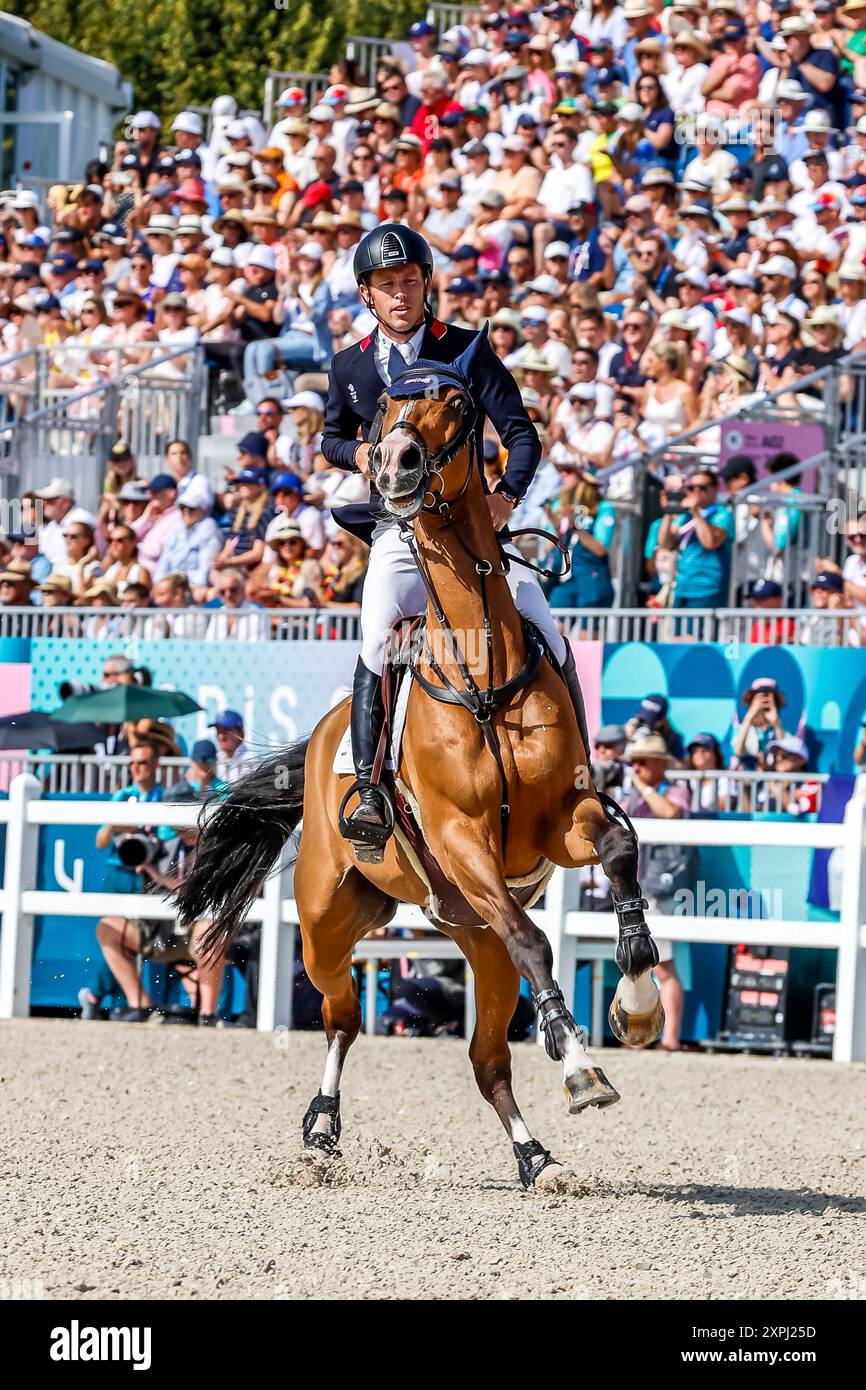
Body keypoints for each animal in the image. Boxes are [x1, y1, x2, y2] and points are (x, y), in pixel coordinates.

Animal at [177, 330, 664, 1189]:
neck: (482, 672)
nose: (396, 465)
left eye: (459, 403)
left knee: (486, 1058)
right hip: (327, 920)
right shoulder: (462, 839)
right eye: (377, 412)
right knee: (341, 1017)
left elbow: (617, 847)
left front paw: (635, 1009)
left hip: (470, 935)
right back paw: (322, 1130)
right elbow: (538, 941)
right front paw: (581, 1066)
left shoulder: (554, 824)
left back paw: (538, 1159)